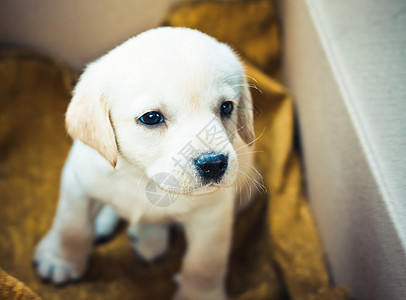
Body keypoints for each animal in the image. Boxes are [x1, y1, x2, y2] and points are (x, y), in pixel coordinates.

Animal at [34, 27, 256, 298]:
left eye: (226, 107)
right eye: (151, 117)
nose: (214, 163)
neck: (142, 176)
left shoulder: (213, 214)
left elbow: (204, 263)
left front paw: (200, 293)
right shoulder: (78, 181)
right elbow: (71, 227)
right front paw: (60, 259)